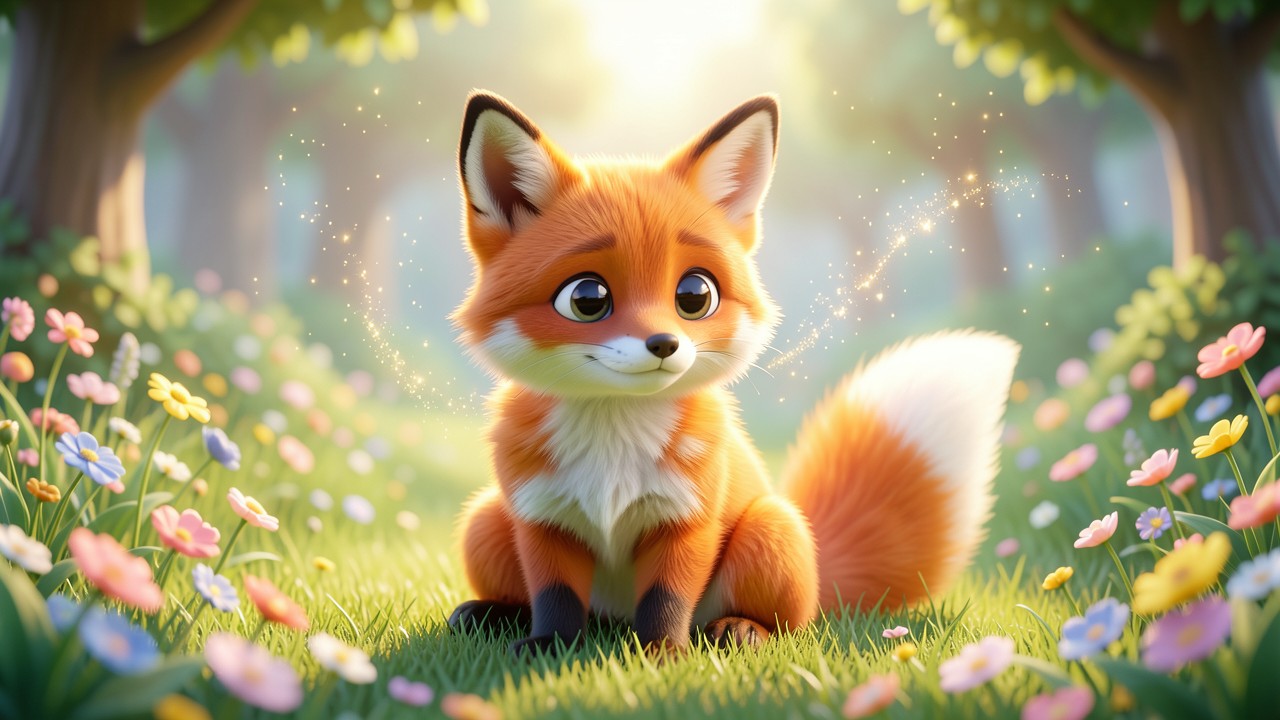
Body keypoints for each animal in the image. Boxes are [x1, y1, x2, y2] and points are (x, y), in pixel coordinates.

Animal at [445, 90, 1019, 655]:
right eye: (587, 299)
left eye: (695, 295)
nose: (664, 344)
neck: (614, 447)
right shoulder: (541, 518)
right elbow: (556, 595)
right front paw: (549, 646)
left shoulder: (689, 517)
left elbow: (667, 597)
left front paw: (661, 654)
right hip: (484, 519)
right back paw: (492, 615)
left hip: (770, 530)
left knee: (790, 624)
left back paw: (741, 630)